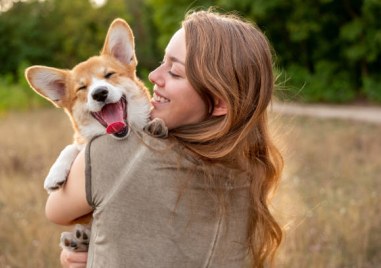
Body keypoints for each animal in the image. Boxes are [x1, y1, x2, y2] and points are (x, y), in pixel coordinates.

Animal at [24, 18, 165, 251]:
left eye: (109, 75)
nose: (99, 93)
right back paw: (77, 240)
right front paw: (55, 174)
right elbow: (71, 147)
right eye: (82, 88)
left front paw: (157, 125)